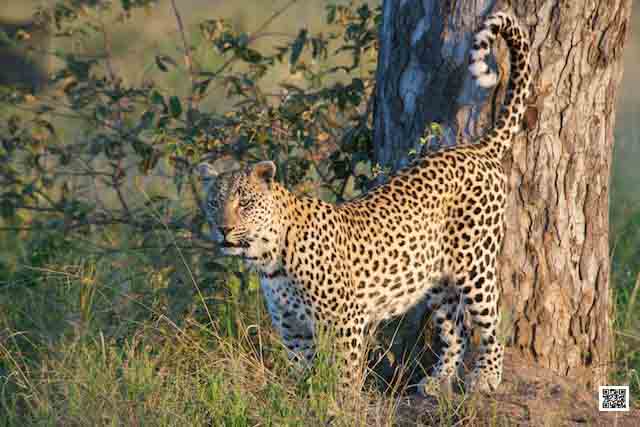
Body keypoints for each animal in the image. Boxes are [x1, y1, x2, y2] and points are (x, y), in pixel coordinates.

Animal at [197, 10, 531, 395]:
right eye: (213, 203)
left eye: (246, 203)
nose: (223, 230)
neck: (268, 258)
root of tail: (476, 147)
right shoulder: (293, 330)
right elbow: (302, 374)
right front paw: (303, 399)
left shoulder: (346, 321)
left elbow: (344, 374)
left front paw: (342, 401)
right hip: (436, 278)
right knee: (455, 327)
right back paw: (438, 380)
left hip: (476, 263)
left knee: (493, 320)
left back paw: (486, 376)